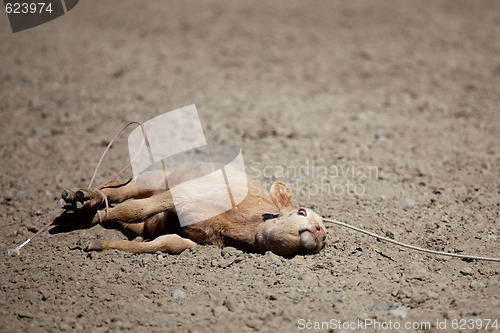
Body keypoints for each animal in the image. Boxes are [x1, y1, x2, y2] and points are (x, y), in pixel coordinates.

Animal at [48, 166, 326, 256]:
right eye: (302, 212)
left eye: (326, 237)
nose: (321, 233)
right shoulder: (181, 195)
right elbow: (132, 209)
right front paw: (73, 223)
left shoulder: (195, 239)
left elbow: (166, 243)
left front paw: (101, 244)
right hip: (152, 179)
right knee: (119, 192)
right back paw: (83, 199)